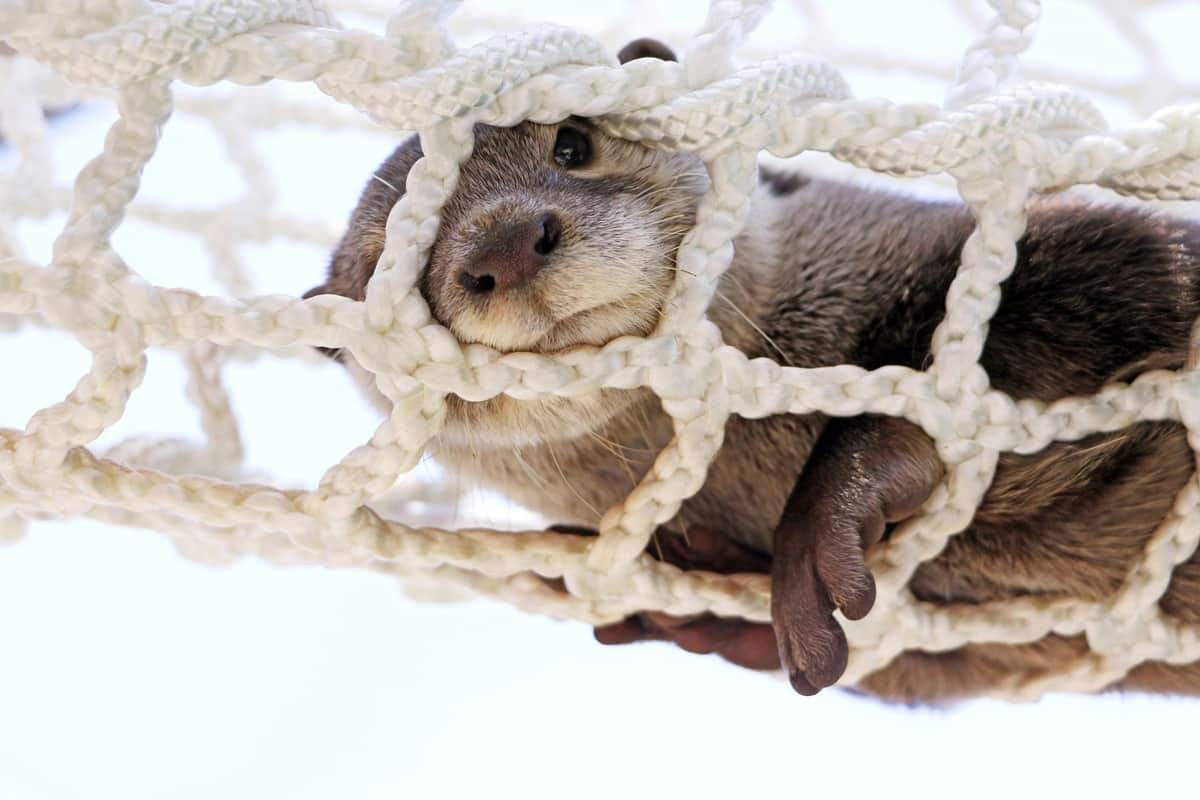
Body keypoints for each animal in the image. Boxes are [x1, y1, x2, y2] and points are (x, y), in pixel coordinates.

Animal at [306, 38, 1200, 703]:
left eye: (571, 141)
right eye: (391, 259)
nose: (507, 242)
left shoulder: (1090, 262)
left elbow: (1098, 274)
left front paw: (828, 509)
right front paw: (693, 600)